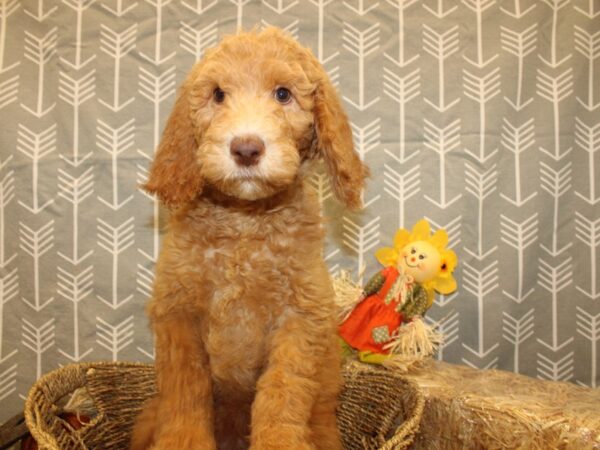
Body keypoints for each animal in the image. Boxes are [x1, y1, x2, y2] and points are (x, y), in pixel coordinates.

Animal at [131, 27, 366, 450]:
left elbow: (282, 395)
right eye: (218, 94)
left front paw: (278, 442)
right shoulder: (178, 314)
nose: (246, 149)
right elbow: (185, 394)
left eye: (283, 94)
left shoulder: (299, 319)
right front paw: (183, 441)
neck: (243, 224)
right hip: (148, 416)